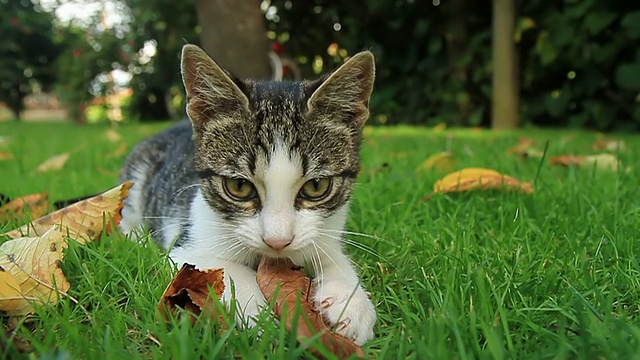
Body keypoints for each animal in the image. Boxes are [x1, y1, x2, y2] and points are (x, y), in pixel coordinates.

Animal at [117, 45, 376, 346]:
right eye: (239, 186)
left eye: (316, 186)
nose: (277, 241)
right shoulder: (185, 247)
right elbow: (222, 271)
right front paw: (264, 317)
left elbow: (331, 254)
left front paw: (351, 302)